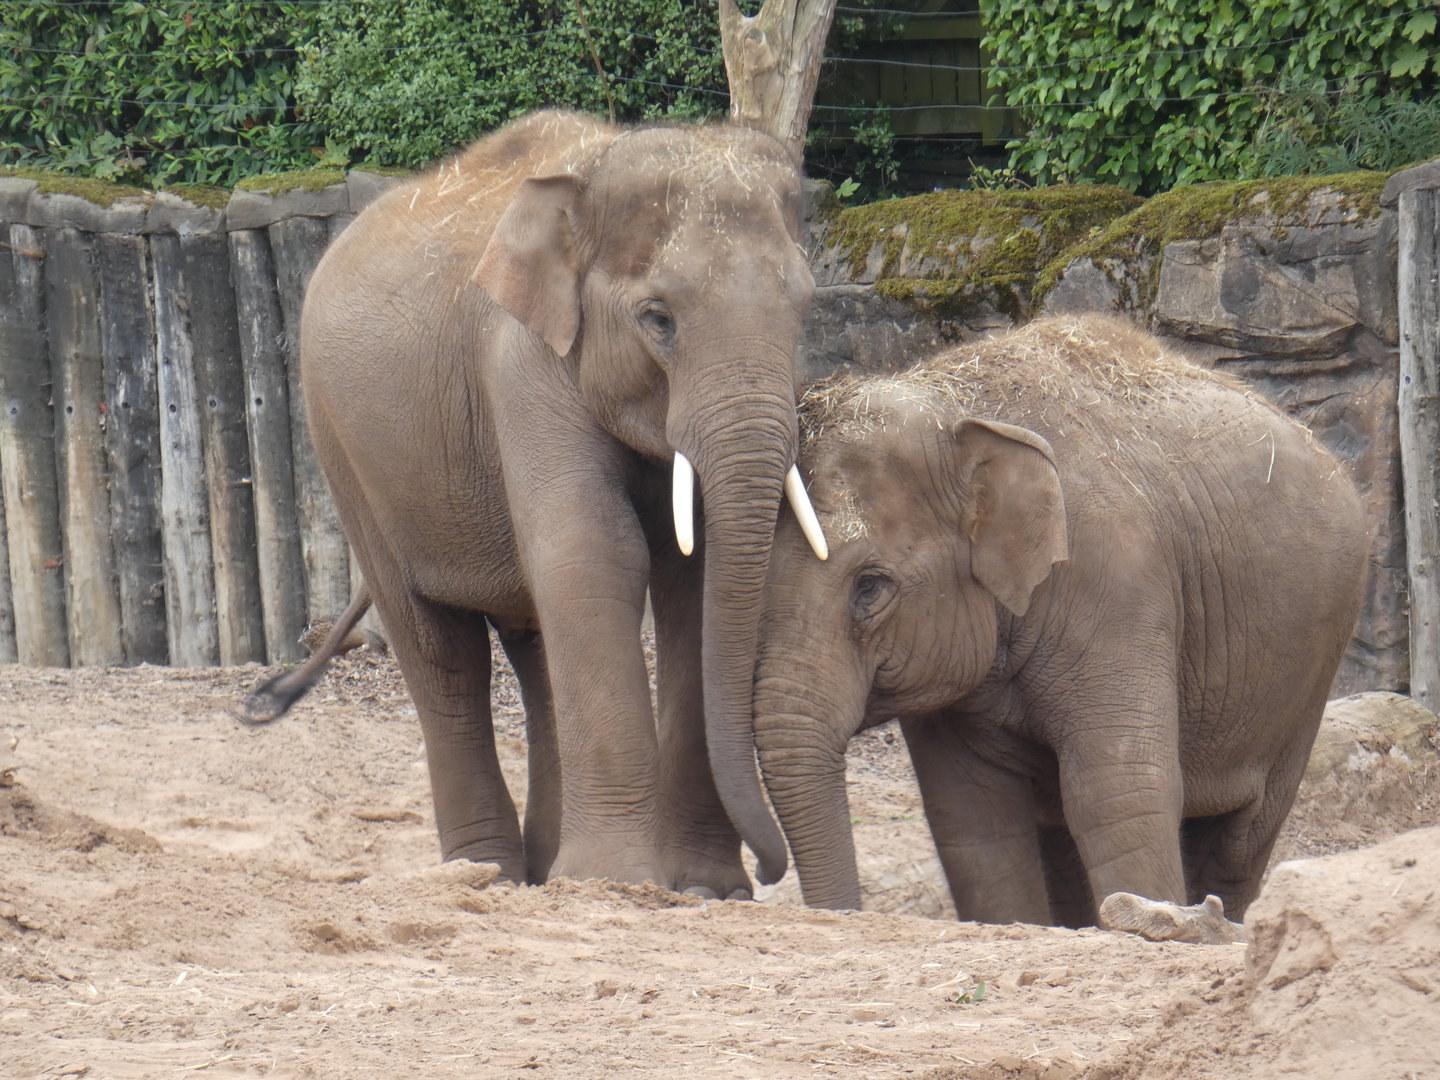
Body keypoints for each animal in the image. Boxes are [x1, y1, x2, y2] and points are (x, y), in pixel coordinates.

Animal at [242, 110, 826, 897]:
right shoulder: (521, 364)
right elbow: (594, 553)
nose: (768, 871)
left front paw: (704, 888)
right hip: (343, 451)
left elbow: (694, 576)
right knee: (440, 651)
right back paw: (484, 872)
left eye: (804, 308)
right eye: (659, 319)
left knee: (535, 648)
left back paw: (544, 870)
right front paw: (623, 885)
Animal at [739, 314, 1368, 926]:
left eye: (870, 586)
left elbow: (1116, 789)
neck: (956, 406)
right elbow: (972, 817)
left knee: (1240, 838)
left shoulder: (1118, 583)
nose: (765, 874)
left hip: (1308, 677)